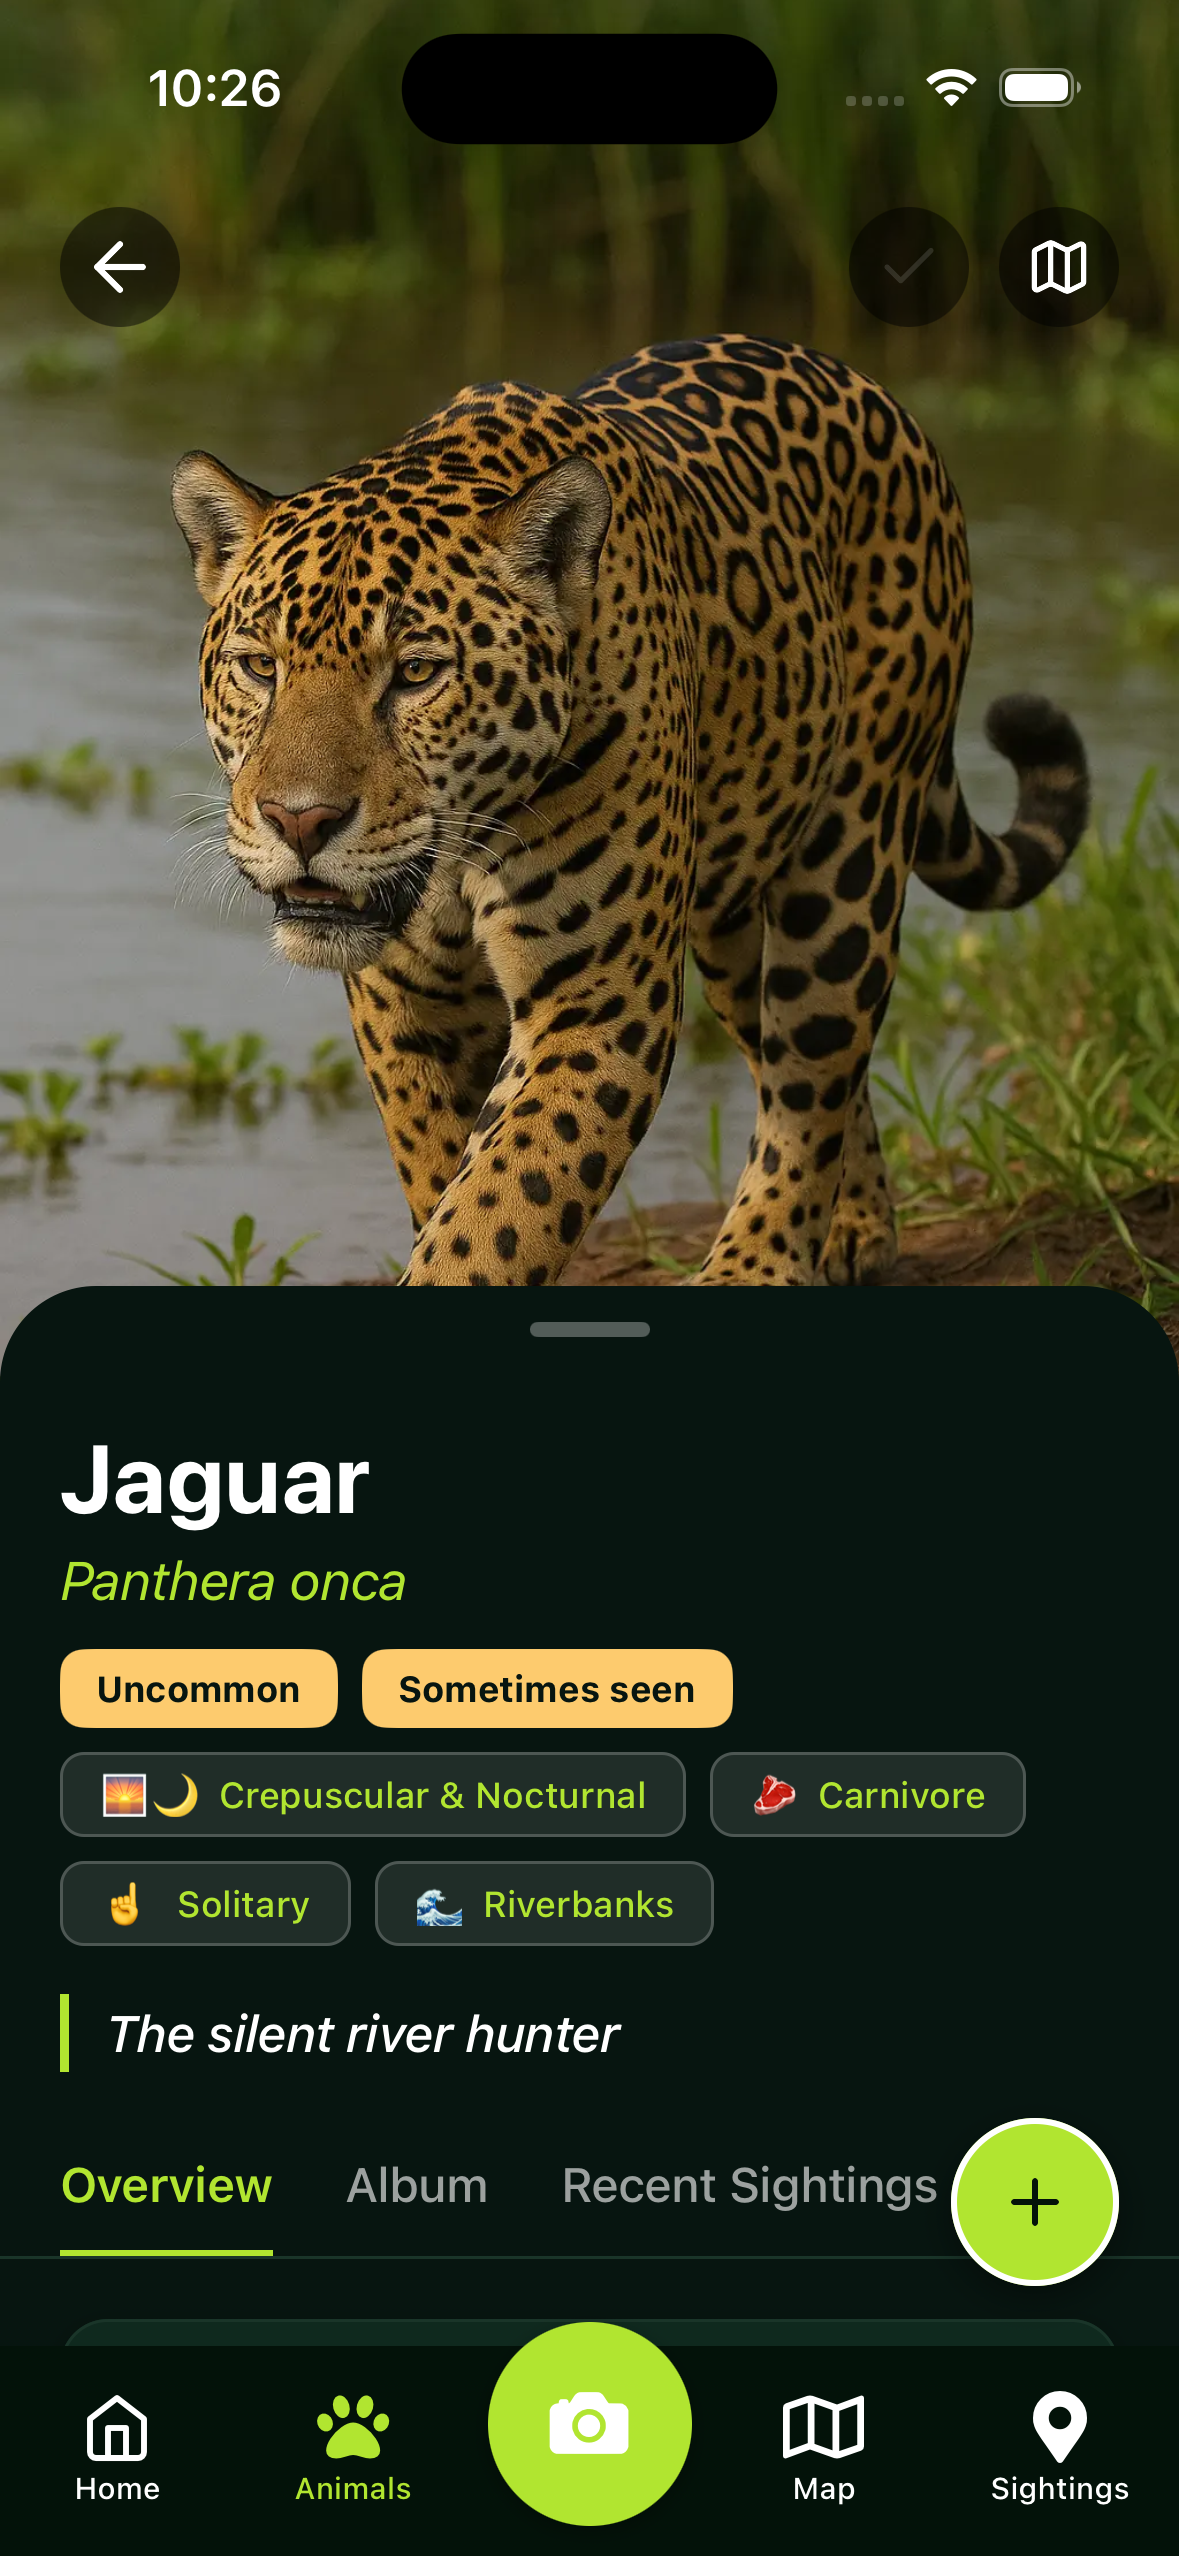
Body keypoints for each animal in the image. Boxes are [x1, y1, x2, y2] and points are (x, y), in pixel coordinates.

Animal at [172, 334, 1089, 1286]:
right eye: (259, 666)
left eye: (418, 673)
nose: (299, 822)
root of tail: (869, 388)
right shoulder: (408, 1003)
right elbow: (446, 1183)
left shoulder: (597, 1004)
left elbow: (496, 1210)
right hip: (733, 919)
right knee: (800, 1059)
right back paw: (851, 1222)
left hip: (849, 854)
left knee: (814, 1065)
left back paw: (757, 1262)